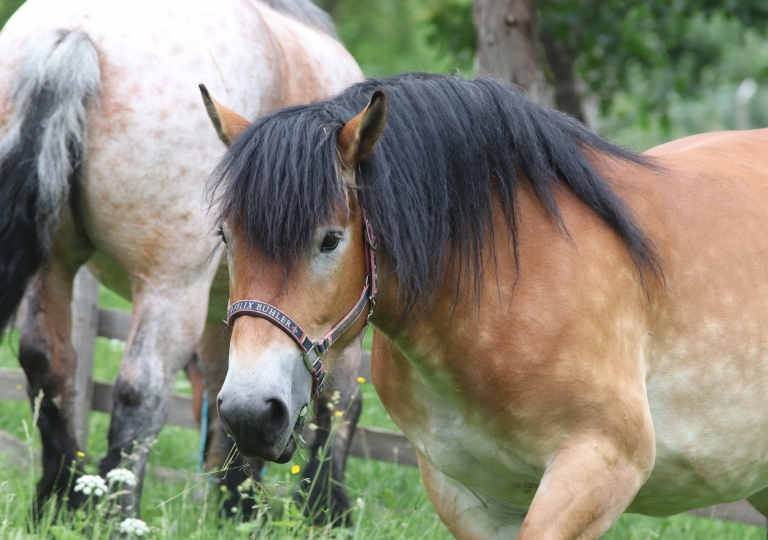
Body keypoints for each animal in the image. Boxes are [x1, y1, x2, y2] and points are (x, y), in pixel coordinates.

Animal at [0, 0, 366, 524]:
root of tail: (74, 34)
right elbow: (339, 399)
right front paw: (323, 509)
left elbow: (229, 392)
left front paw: (236, 504)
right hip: (169, 285)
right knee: (140, 388)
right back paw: (118, 513)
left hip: (55, 264)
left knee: (46, 360)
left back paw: (62, 499)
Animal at [208, 73, 768, 540]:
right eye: (226, 237)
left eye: (329, 240)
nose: (250, 412)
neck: (499, 292)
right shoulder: (465, 493)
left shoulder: (600, 467)